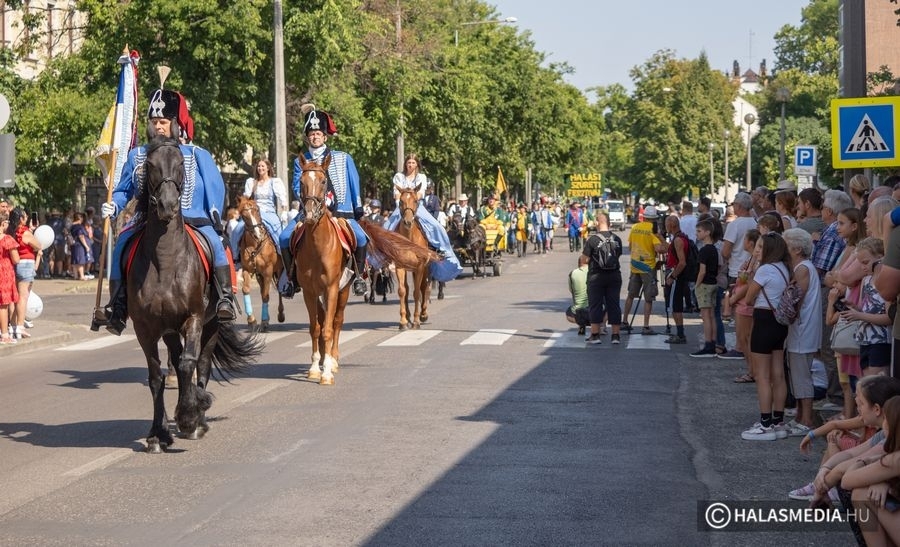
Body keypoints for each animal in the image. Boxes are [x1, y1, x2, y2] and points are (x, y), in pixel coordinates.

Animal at [130, 137, 264, 454]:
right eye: (150, 165)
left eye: (181, 163)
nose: (167, 205)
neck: (165, 261)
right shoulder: (145, 328)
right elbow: (156, 376)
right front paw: (157, 434)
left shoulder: (193, 318)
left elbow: (190, 363)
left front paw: (190, 415)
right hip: (169, 330)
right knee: (177, 362)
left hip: (212, 323)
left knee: (199, 364)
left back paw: (197, 419)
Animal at [236, 197, 284, 334]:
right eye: (243, 215)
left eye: (257, 210)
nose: (258, 233)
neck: (255, 244)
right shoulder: (248, 270)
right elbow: (246, 289)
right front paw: (251, 321)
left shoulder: (268, 271)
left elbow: (265, 296)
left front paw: (264, 322)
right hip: (259, 275)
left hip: (278, 271)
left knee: (279, 290)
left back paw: (280, 314)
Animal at [294, 156, 438, 384]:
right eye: (301, 182)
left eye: (324, 181)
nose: (309, 213)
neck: (318, 246)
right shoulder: (310, 291)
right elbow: (315, 328)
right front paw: (315, 367)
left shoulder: (333, 287)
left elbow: (328, 328)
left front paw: (326, 372)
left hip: (345, 289)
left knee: (338, 321)